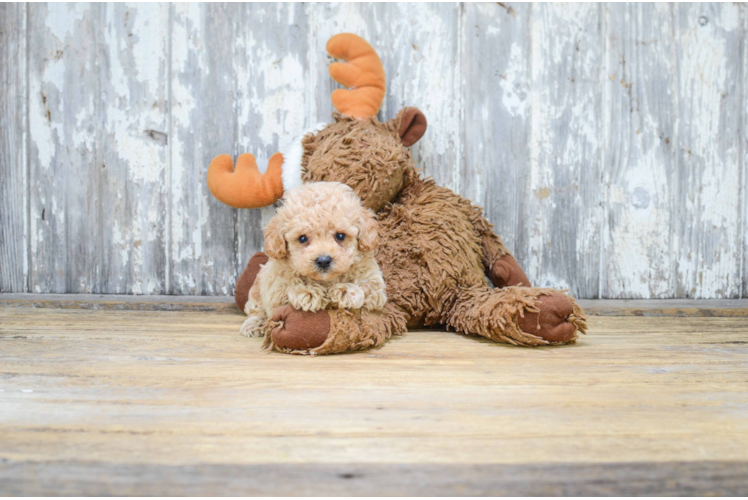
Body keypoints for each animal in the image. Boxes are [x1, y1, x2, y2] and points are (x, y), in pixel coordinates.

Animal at [241, 182, 386, 342]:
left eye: (340, 236)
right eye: (302, 238)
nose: (323, 261)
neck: (325, 280)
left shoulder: (375, 285)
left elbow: (366, 288)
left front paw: (345, 291)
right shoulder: (276, 289)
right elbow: (290, 286)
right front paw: (308, 293)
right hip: (258, 289)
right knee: (256, 310)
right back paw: (254, 324)